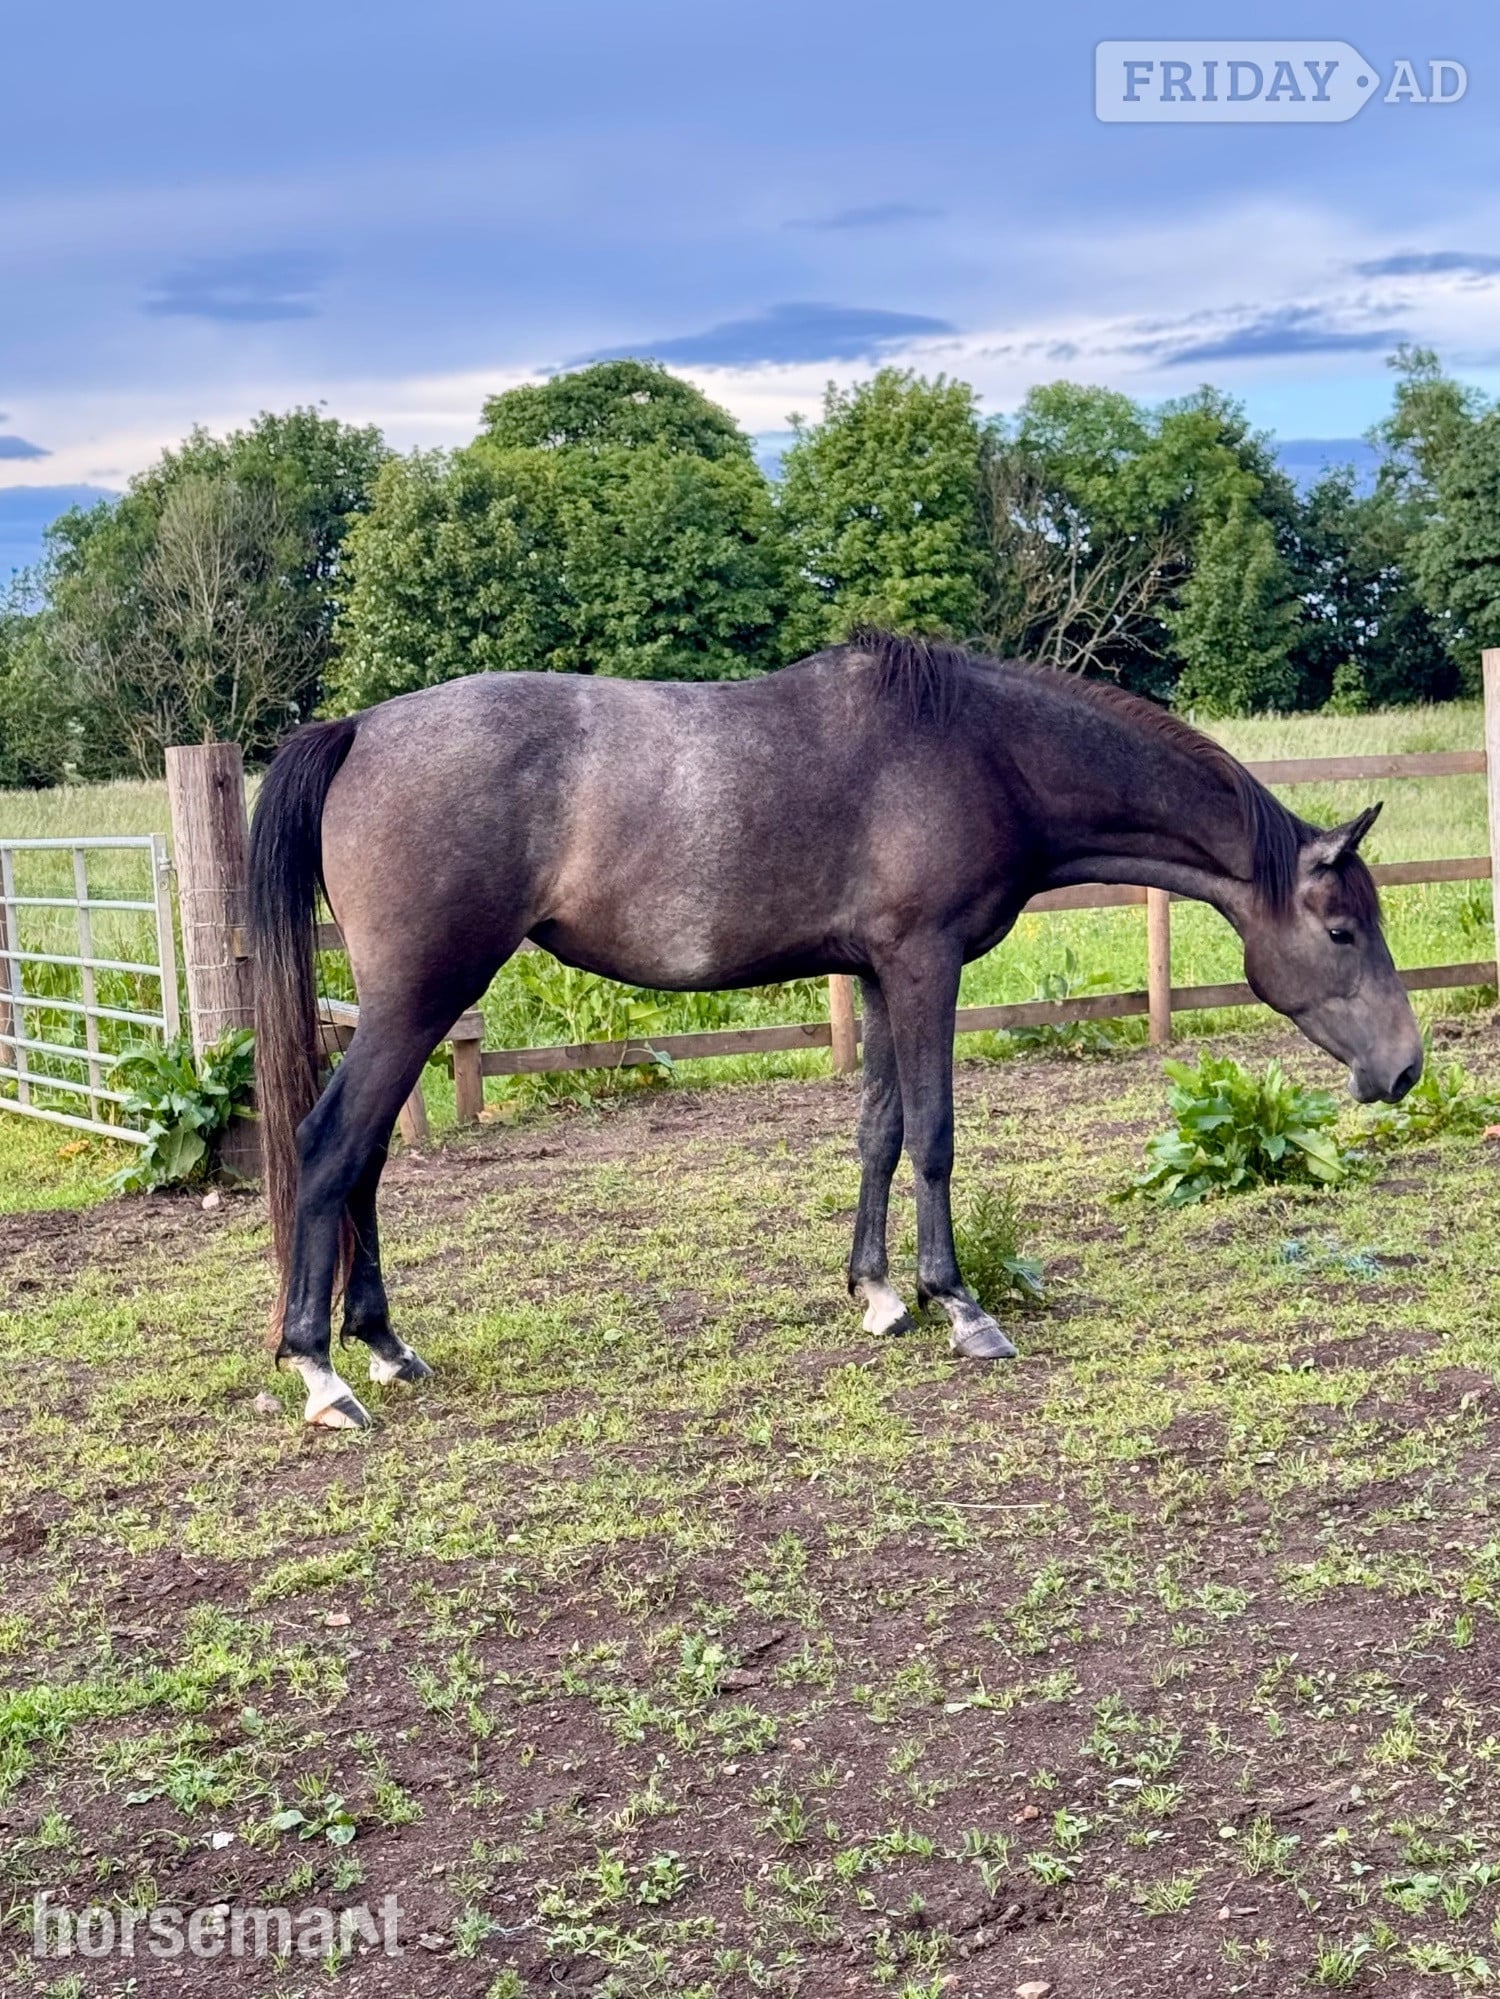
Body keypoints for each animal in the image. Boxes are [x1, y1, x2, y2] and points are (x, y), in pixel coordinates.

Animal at [249, 632, 1422, 1429]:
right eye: (1342, 928)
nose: (1405, 1070)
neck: (982, 750)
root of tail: (357, 731)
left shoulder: (874, 972)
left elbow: (879, 1133)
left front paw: (877, 1294)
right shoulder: (924, 963)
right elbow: (936, 1135)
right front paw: (960, 1305)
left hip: (412, 1006)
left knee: (364, 1159)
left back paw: (384, 1344)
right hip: (419, 999)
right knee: (330, 1146)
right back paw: (320, 1371)